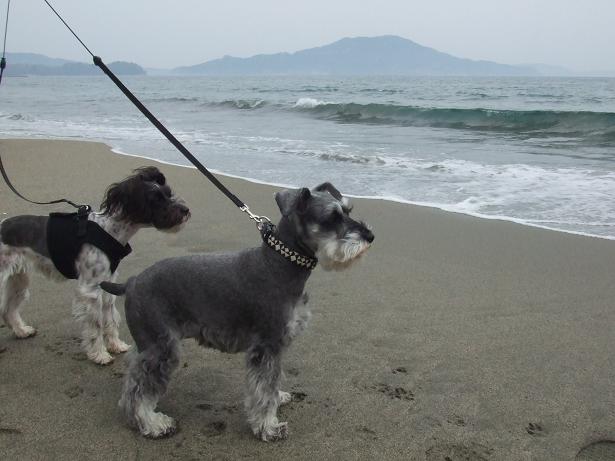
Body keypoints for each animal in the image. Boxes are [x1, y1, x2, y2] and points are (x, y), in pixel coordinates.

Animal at [0, 166, 190, 365]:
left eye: (169, 193)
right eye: (155, 199)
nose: (185, 210)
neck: (109, 230)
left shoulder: (107, 285)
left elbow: (110, 319)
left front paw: (115, 345)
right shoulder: (90, 291)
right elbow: (96, 325)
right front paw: (99, 354)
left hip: (18, 280)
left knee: (8, 310)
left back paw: (21, 331)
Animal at [100, 182, 374, 441]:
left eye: (347, 210)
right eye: (331, 217)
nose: (370, 236)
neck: (279, 264)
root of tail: (131, 282)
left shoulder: (277, 346)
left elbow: (272, 382)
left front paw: (278, 398)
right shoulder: (266, 345)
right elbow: (263, 390)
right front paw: (268, 427)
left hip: (147, 344)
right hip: (161, 349)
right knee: (137, 393)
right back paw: (153, 424)